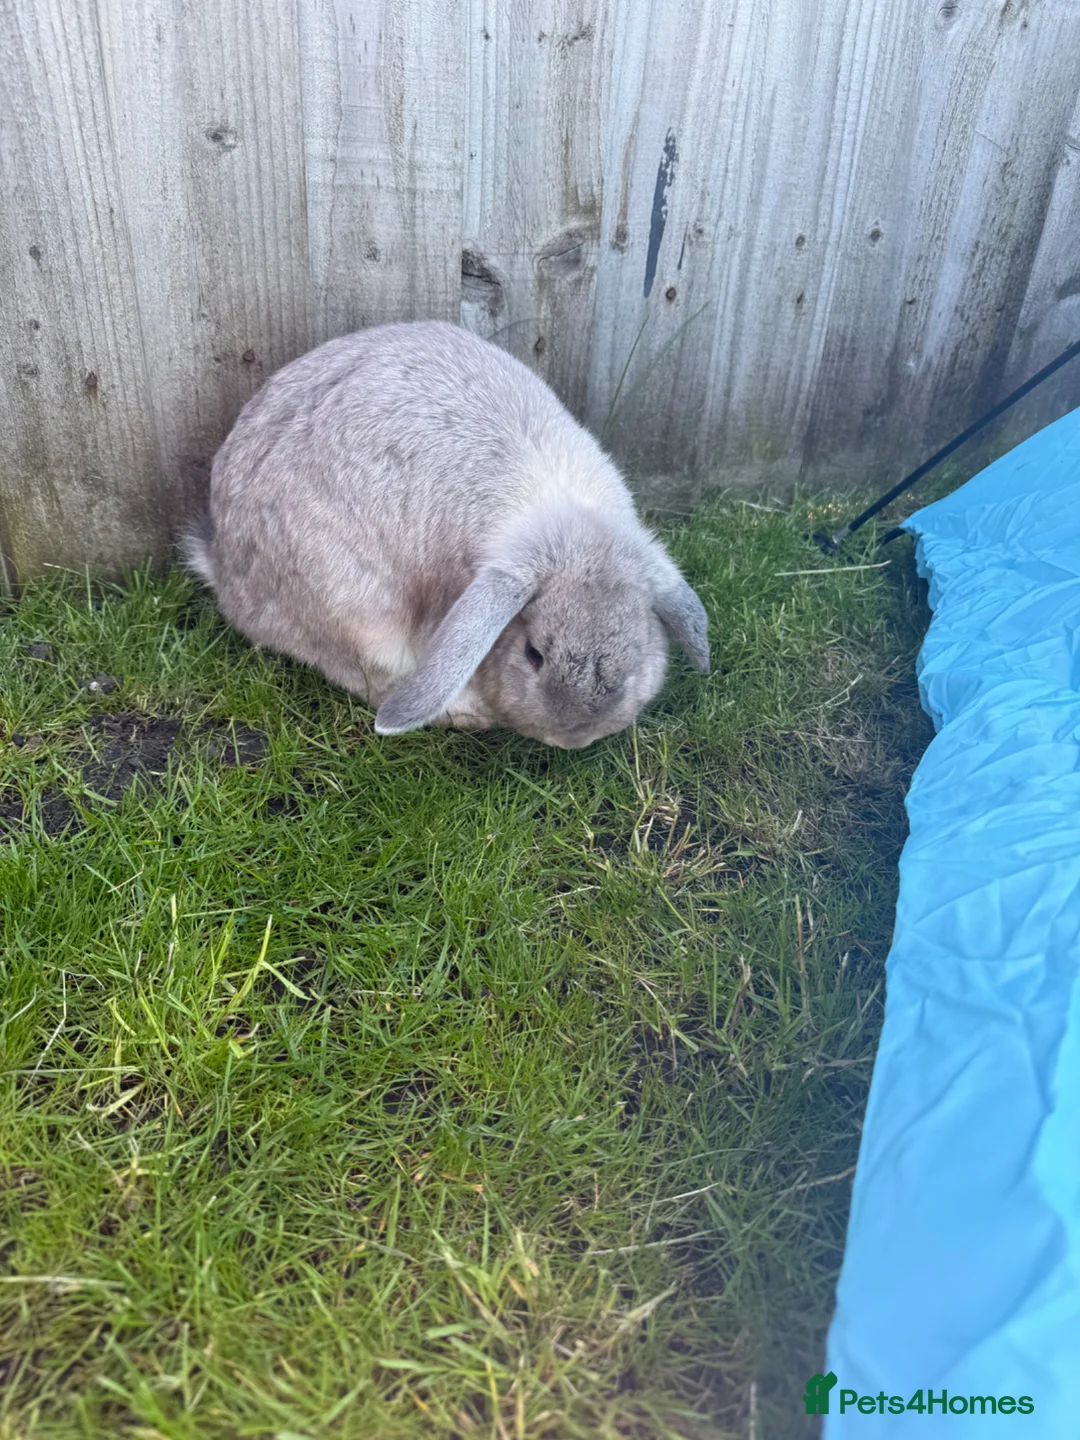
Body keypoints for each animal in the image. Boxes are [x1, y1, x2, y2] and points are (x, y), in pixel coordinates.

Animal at [183, 320, 709, 749]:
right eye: (533, 654)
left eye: (638, 650)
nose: (573, 738)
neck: (566, 519)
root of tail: (223, 566)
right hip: (349, 607)